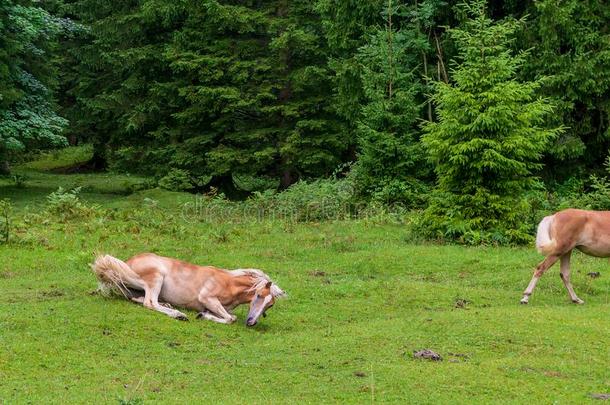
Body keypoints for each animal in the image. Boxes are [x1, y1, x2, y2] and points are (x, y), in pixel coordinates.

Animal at [92, 252, 284, 326]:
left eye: (270, 305)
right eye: (258, 295)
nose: (252, 322)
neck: (230, 283)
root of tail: (127, 263)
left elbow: (230, 316)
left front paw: (204, 314)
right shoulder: (207, 298)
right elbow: (231, 318)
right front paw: (202, 315)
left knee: (139, 299)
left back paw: (169, 306)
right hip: (157, 277)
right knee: (149, 302)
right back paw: (179, 315)